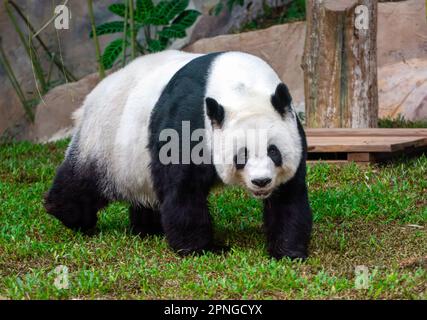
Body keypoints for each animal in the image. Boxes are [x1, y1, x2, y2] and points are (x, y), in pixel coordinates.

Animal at [45, 50, 312, 260]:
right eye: (242, 155)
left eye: (273, 151)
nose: (261, 181)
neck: (241, 87)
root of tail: (91, 97)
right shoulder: (188, 120)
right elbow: (183, 188)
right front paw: (201, 249)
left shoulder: (293, 130)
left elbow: (288, 195)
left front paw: (288, 252)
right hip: (106, 139)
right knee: (82, 180)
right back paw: (70, 215)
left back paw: (148, 228)